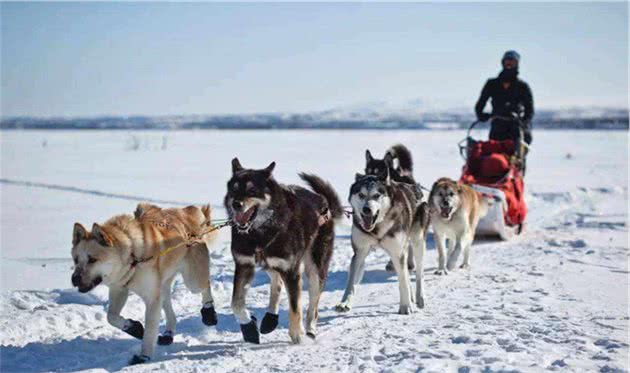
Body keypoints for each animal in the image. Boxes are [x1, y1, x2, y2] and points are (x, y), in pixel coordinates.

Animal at [71, 203, 218, 364]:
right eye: (76, 260)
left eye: (92, 259)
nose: (74, 279)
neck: (132, 256)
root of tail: (188, 211)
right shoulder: (119, 289)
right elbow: (111, 316)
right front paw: (133, 327)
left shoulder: (152, 298)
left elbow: (150, 331)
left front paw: (144, 356)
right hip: (163, 287)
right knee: (170, 311)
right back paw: (168, 334)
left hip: (193, 281)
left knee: (205, 285)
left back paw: (209, 312)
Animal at [226, 157, 344, 342]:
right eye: (234, 189)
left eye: (252, 190)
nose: (236, 204)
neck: (259, 233)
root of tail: (324, 202)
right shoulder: (244, 264)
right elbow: (236, 303)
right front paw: (249, 326)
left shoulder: (291, 271)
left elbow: (295, 307)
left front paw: (297, 335)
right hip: (269, 263)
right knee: (277, 282)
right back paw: (270, 318)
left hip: (315, 268)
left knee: (313, 304)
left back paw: (310, 329)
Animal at [336, 172, 430, 314]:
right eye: (361, 195)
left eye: (376, 195)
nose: (367, 209)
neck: (377, 228)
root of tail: (414, 187)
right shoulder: (360, 253)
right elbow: (351, 282)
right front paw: (344, 303)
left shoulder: (397, 253)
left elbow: (403, 280)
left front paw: (405, 306)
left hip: (417, 242)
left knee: (419, 273)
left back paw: (419, 297)